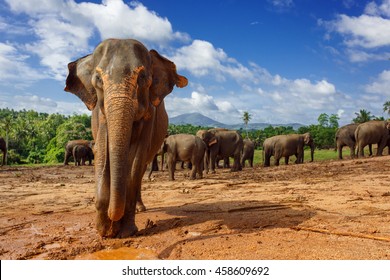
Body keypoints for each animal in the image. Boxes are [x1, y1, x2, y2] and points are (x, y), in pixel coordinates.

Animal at [64, 38, 188, 237]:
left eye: (142, 78)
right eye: (98, 79)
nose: (112, 224)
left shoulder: (150, 116)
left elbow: (136, 158)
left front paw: (126, 231)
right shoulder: (99, 115)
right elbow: (101, 150)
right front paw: (105, 231)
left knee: (140, 169)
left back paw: (140, 208)